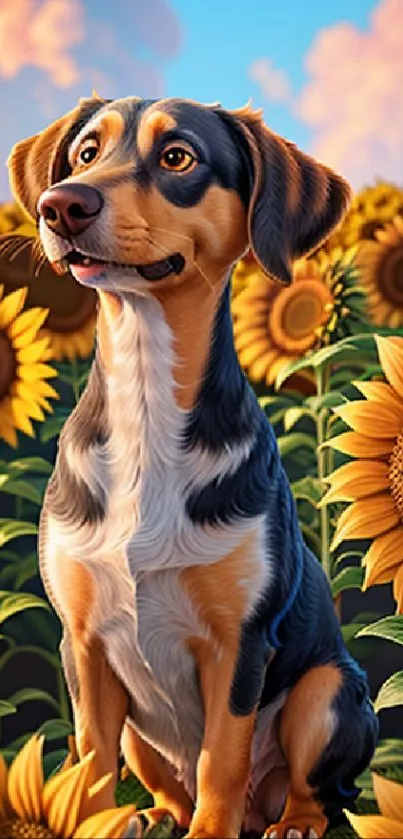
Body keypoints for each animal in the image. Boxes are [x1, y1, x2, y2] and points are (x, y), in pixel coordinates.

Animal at [7, 95, 378, 836]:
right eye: (86, 152)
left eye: (178, 157)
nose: (62, 206)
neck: (146, 399)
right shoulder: (83, 646)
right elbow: (90, 762)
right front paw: (91, 820)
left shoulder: (238, 644)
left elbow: (221, 759)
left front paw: (212, 830)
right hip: (139, 734)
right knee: (161, 781)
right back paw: (148, 815)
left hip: (329, 687)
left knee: (313, 786)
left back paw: (292, 819)